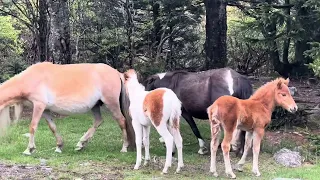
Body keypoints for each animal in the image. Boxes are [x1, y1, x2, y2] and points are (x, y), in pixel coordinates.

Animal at [0, 61, 134, 155]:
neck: (31, 78)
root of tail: (117, 73)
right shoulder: (45, 110)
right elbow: (52, 127)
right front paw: (59, 146)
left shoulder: (39, 106)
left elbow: (33, 127)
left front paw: (29, 149)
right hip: (95, 106)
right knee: (98, 121)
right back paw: (81, 144)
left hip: (112, 104)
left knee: (121, 121)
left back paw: (124, 147)